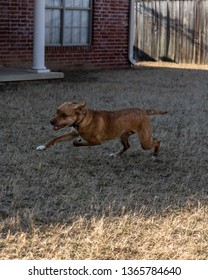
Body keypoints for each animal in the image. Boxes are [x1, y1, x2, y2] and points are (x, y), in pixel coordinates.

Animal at [36, 101, 167, 158]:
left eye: (64, 115)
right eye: (57, 111)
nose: (51, 121)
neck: (83, 119)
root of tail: (144, 111)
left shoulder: (96, 141)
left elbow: (76, 143)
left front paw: (78, 141)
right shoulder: (73, 132)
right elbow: (55, 138)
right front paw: (43, 147)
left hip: (145, 141)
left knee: (158, 141)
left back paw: (155, 154)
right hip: (123, 135)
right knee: (126, 146)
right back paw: (115, 154)